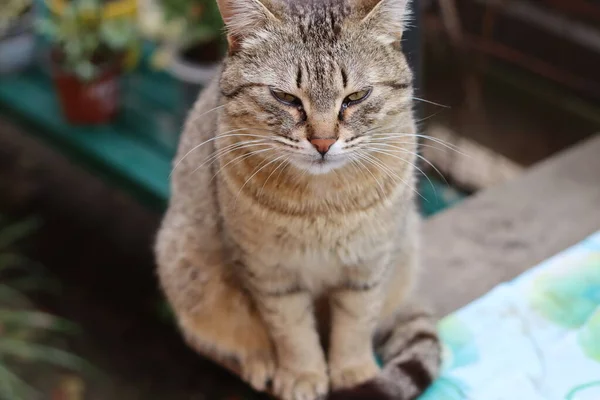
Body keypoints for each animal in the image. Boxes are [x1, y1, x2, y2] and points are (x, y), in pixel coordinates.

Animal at [157, 0, 442, 400]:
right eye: (286, 98)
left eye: (356, 97)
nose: (323, 142)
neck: (322, 204)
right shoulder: (269, 272)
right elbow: (292, 332)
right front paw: (303, 375)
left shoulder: (371, 263)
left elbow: (356, 323)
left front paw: (353, 371)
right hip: (185, 267)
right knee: (213, 339)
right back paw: (258, 362)